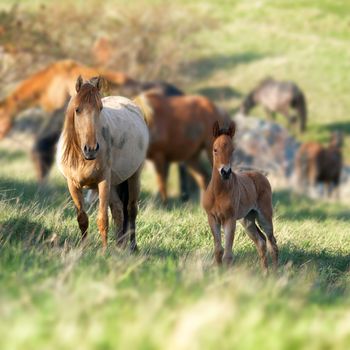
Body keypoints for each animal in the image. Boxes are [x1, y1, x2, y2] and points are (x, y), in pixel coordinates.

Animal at [56, 76, 149, 252]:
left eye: (100, 108)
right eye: (77, 109)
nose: (91, 149)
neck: (81, 158)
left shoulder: (103, 182)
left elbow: (103, 219)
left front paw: (104, 251)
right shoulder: (73, 185)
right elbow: (82, 218)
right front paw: (84, 248)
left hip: (134, 177)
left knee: (131, 210)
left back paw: (132, 246)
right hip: (115, 183)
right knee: (118, 210)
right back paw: (119, 245)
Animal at [202, 120, 278, 270]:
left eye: (232, 150)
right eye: (215, 149)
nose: (225, 172)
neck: (218, 193)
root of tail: (261, 175)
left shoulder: (230, 219)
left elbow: (228, 255)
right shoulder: (212, 218)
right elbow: (218, 250)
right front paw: (217, 272)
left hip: (264, 216)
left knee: (272, 242)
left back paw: (277, 272)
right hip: (247, 220)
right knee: (261, 242)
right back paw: (265, 273)